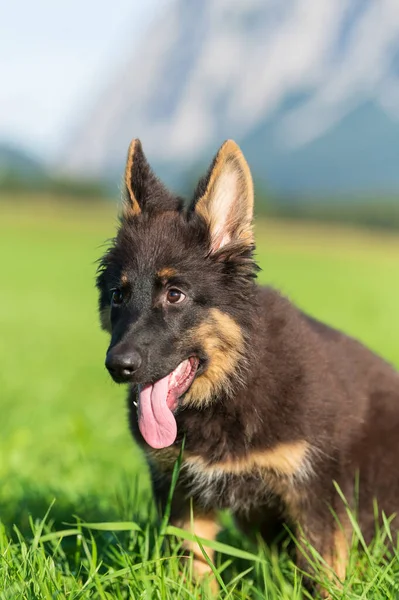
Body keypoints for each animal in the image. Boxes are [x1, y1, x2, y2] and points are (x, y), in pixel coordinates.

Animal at [97, 137, 399, 592]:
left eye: (174, 294)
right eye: (118, 295)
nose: (118, 365)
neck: (231, 384)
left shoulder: (317, 496)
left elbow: (321, 577)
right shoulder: (184, 495)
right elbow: (195, 568)